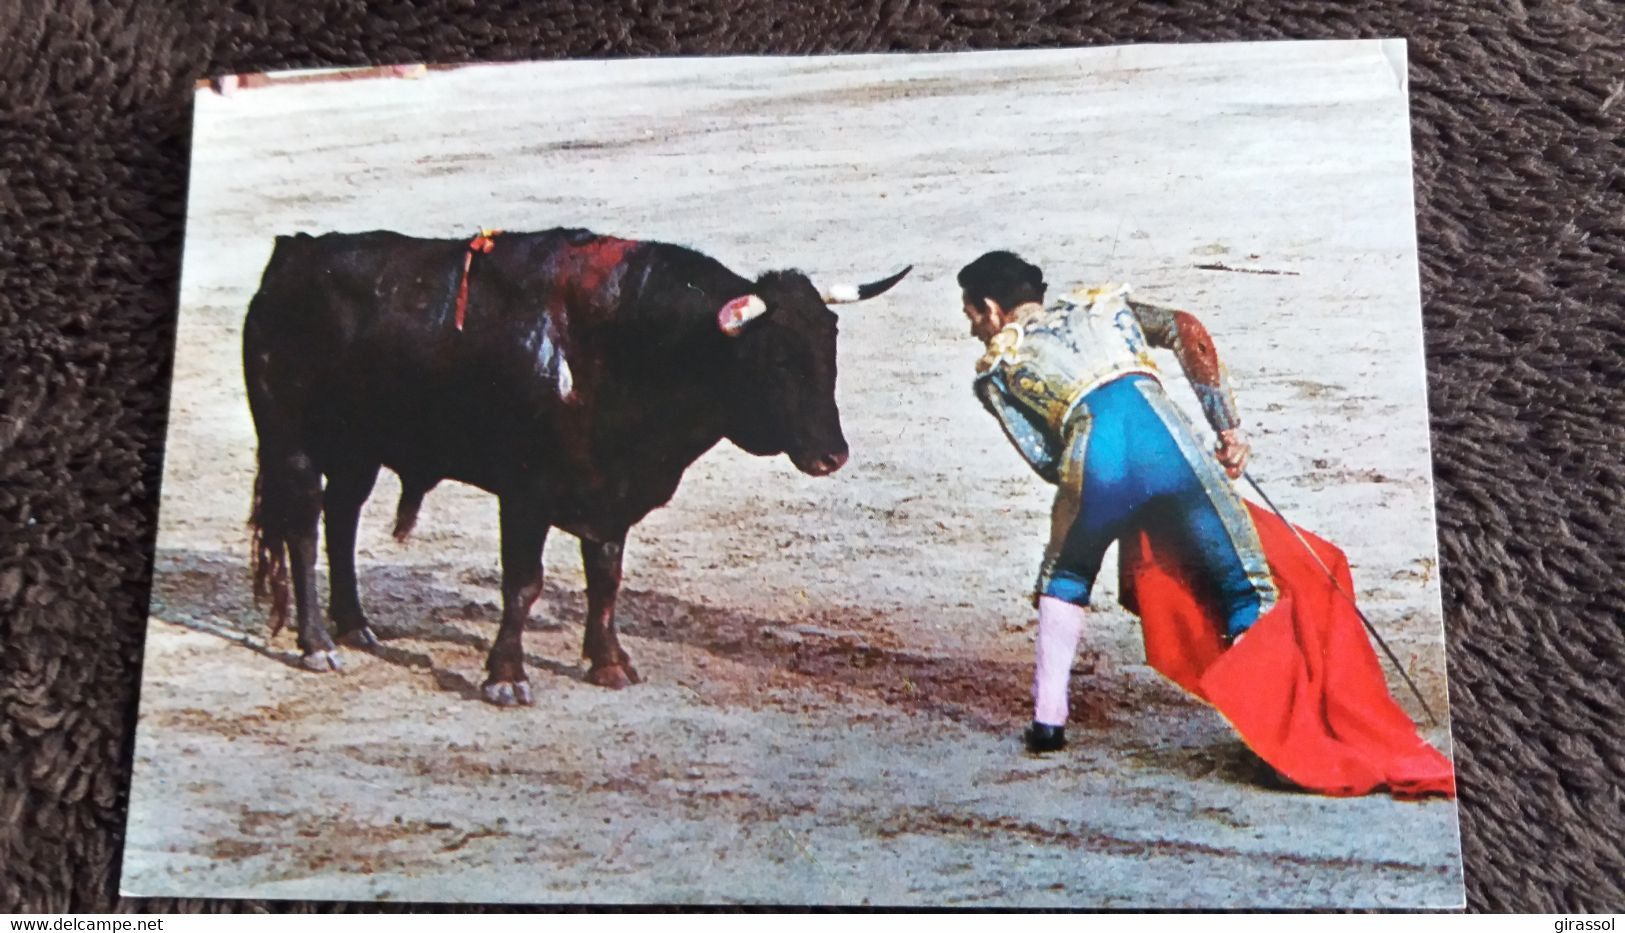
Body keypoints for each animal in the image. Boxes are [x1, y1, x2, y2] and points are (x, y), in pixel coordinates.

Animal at [238, 230, 910, 705]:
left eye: (829, 349)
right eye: (776, 361)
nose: (832, 455)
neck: (620, 345)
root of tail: (293, 254)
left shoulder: (611, 493)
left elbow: (606, 578)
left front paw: (609, 662)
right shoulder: (525, 492)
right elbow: (523, 583)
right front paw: (506, 677)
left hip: (359, 450)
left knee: (342, 518)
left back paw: (355, 626)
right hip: (289, 441)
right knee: (303, 529)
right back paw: (318, 643)